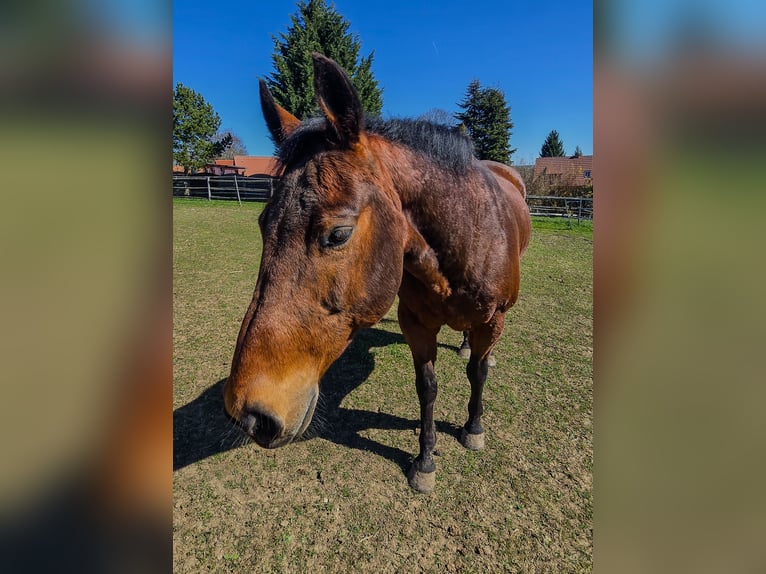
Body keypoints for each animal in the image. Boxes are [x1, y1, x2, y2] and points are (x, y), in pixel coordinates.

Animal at [223, 53, 530, 493]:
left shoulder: (494, 320)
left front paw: (473, 428)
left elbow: (478, 372)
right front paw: (424, 460)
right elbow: (427, 387)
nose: (248, 415)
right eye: (264, 224)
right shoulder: (416, 324)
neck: (466, 234)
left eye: (338, 234)